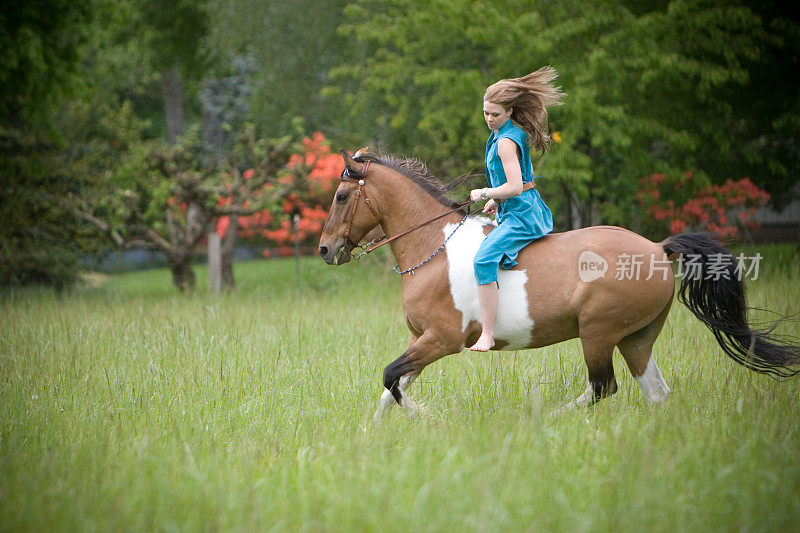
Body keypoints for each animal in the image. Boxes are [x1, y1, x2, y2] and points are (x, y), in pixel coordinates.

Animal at [318, 150, 800, 420]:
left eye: (342, 197)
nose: (325, 250)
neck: (435, 248)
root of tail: (658, 248)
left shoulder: (441, 340)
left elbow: (391, 378)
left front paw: (431, 417)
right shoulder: (420, 340)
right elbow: (391, 388)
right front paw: (371, 437)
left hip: (598, 332)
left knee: (603, 387)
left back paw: (549, 418)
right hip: (637, 338)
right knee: (655, 393)